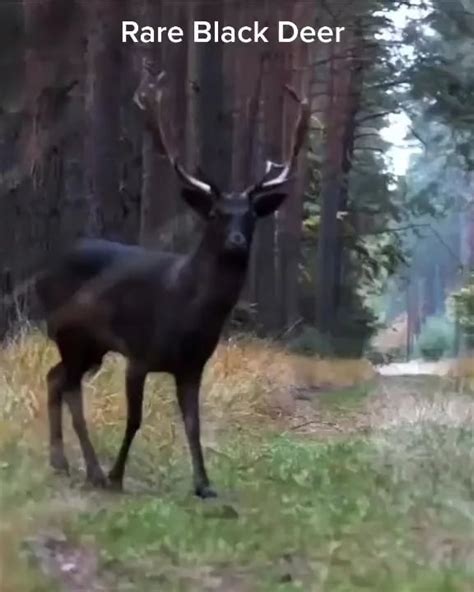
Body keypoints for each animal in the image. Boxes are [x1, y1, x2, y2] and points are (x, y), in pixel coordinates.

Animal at [37, 67, 312, 498]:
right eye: (216, 213)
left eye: (251, 214)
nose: (237, 241)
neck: (186, 310)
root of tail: (45, 271)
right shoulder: (139, 354)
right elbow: (134, 419)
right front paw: (117, 476)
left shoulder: (192, 366)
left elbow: (193, 424)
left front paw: (204, 484)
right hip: (72, 334)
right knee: (69, 389)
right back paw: (93, 471)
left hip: (91, 347)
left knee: (55, 379)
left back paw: (64, 463)